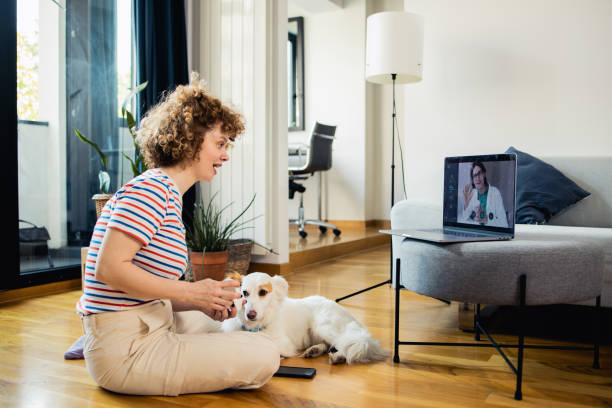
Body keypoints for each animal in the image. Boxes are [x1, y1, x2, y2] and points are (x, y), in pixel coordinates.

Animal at [222, 272, 390, 364]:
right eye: (244, 293)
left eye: (263, 292)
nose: (250, 314)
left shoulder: (283, 344)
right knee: (328, 344)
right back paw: (314, 350)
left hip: (322, 326)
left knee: (345, 343)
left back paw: (338, 357)